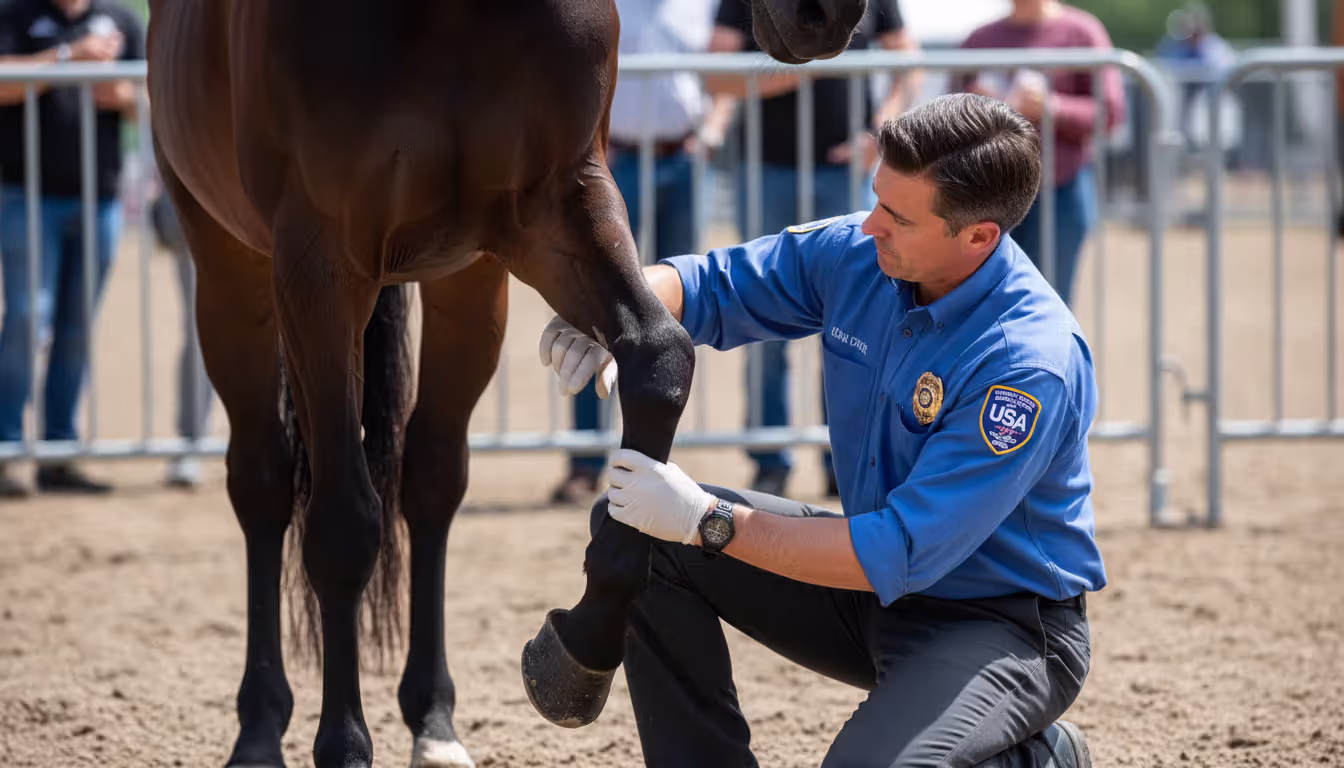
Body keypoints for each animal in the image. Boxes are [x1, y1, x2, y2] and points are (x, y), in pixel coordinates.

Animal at [146, 1, 868, 765]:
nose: (831, 16)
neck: (454, 17)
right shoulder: (319, 269)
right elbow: (342, 527)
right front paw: (343, 745)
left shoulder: (560, 205)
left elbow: (661, 355)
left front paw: (583, 645)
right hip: (227, 260)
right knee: (264, 483)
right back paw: (259, 728)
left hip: (469, 285)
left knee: (430, 480)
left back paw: (433, 721)